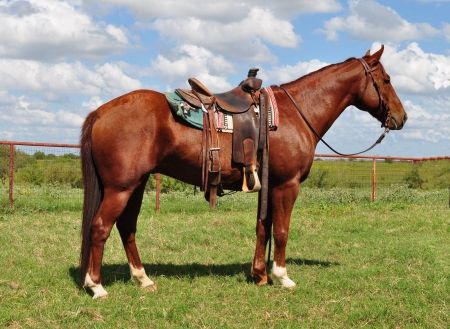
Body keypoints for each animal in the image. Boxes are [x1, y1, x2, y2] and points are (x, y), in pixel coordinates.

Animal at [80, 44, 408, 298]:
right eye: (386, 79)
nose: (401, 117)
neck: (296, 113)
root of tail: (102, 111)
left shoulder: (270, 185)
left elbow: (263, 227)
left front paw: (260, 274)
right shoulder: (287, 185)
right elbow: (282, 230)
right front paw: (282, 276)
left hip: (135, 185)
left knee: (127, 227)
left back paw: (143, 279)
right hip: (121, 188)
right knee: (100, 227)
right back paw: (96, 286)